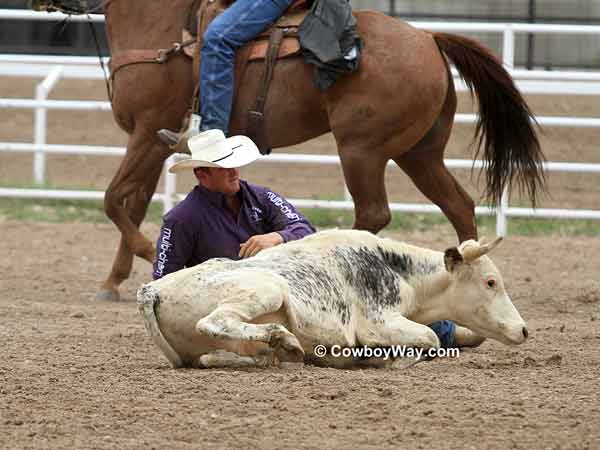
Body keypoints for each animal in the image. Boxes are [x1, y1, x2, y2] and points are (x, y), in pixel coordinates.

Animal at [34, 1, 548, 302]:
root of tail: (428, 38)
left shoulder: (145, 133)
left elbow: (112, 200)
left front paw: (143, 257)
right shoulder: (151, 144)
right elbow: (132, 204)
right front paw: (112, 281)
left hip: (361, 149)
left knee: (374, 213)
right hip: (419, 154)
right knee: (458, 205)